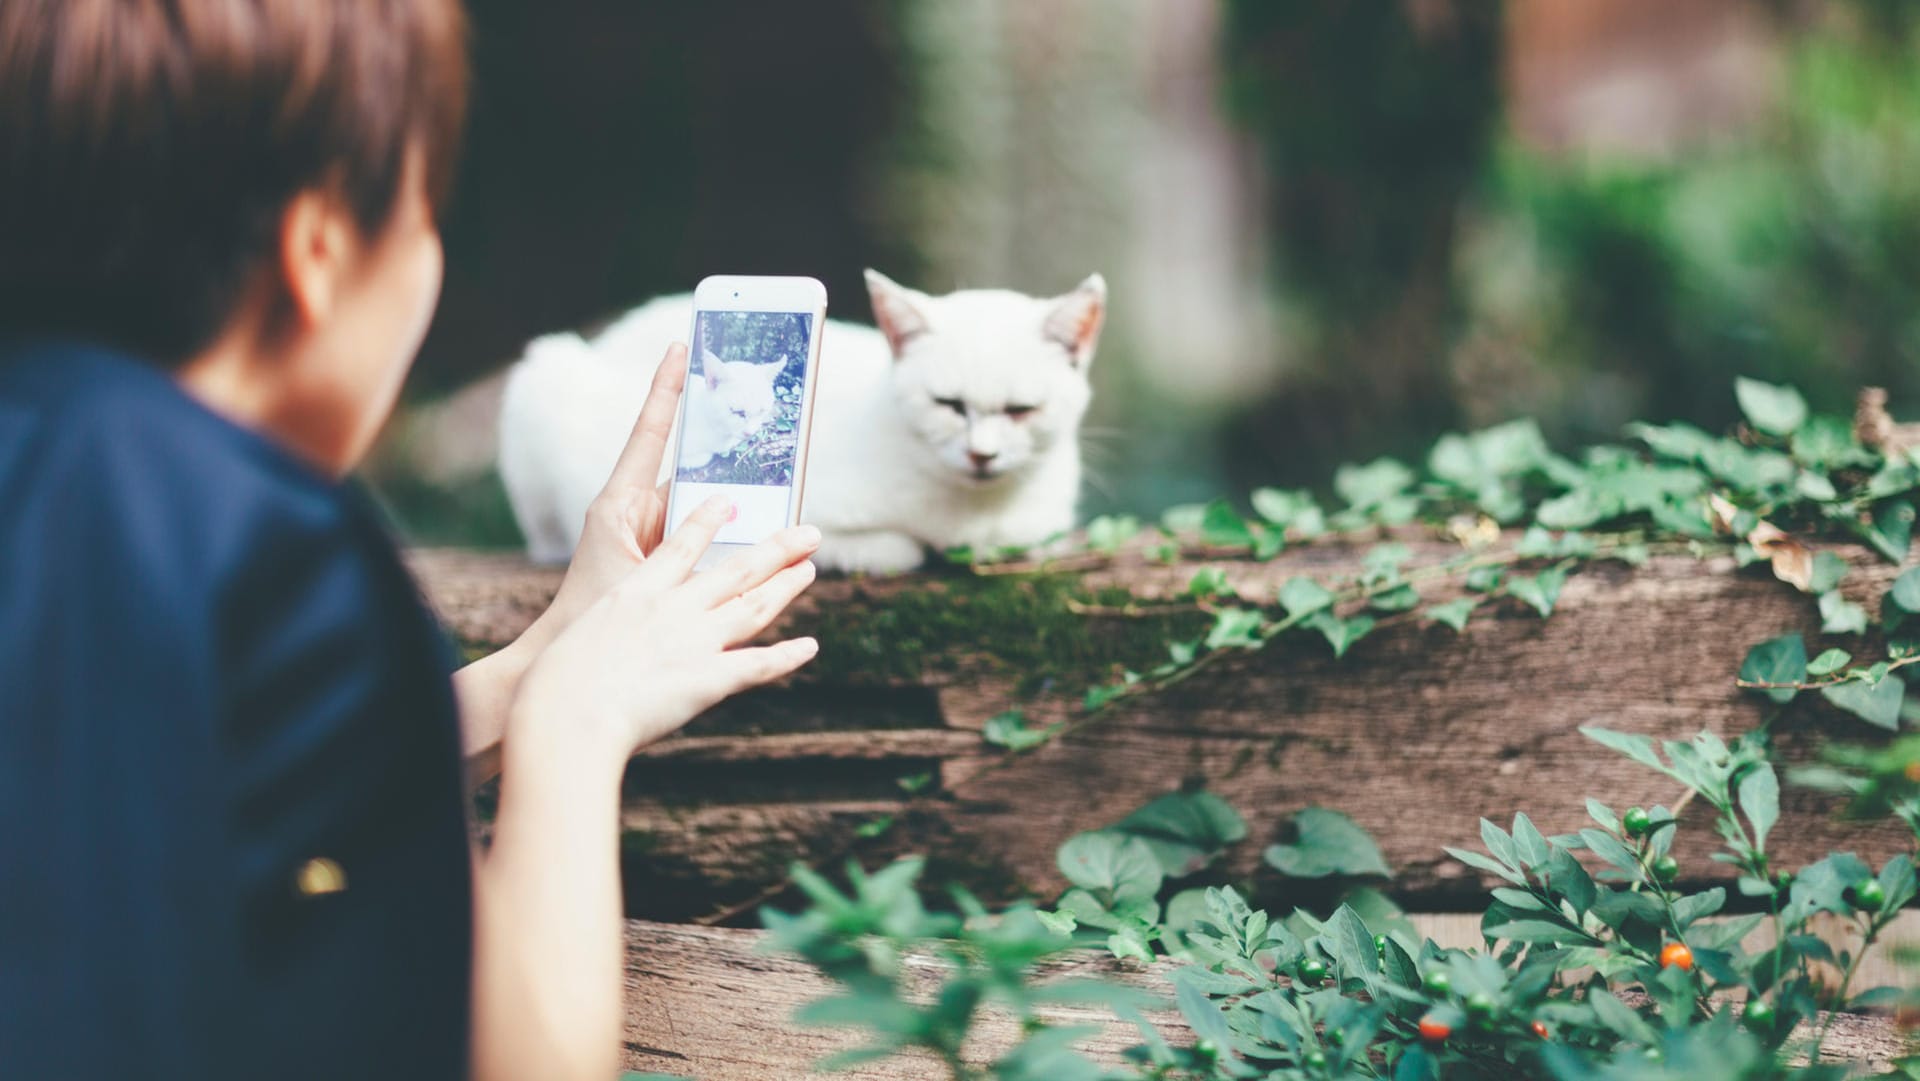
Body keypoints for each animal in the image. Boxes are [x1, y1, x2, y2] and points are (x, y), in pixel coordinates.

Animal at [495, 270, 1105, 576]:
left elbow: (1021, 543)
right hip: (542, 381)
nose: (982, 455)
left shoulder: (1032, 527)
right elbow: (889, 550)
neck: (975, 512)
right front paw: (904, 549)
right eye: (948, 404)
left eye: (1021, 410)